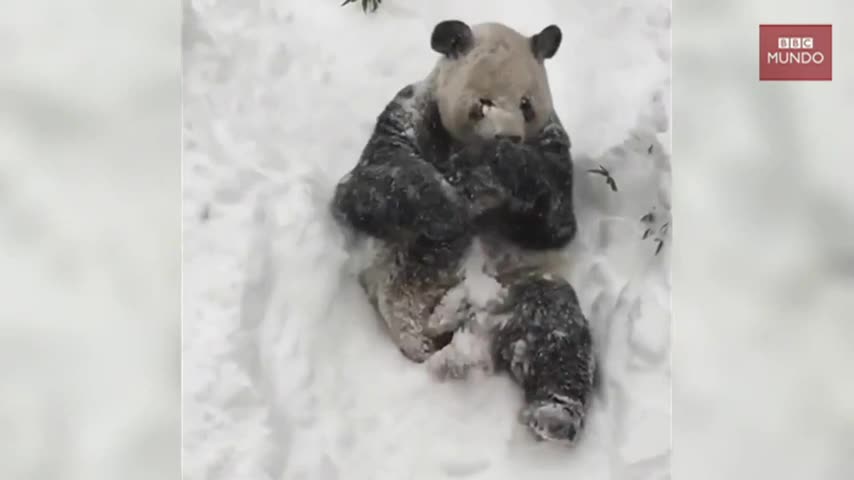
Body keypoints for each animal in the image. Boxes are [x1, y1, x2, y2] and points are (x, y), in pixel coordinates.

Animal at [332, 21, 596, 442]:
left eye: (527, 104)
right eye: (482, 103)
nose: (509, 137)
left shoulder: (552, 144)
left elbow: (555, 223)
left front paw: (492, 166)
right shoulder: (406, 116)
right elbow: (367, 186)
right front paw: (452, 206)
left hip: (518, 286)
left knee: (556, 324)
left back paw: (554, 413)